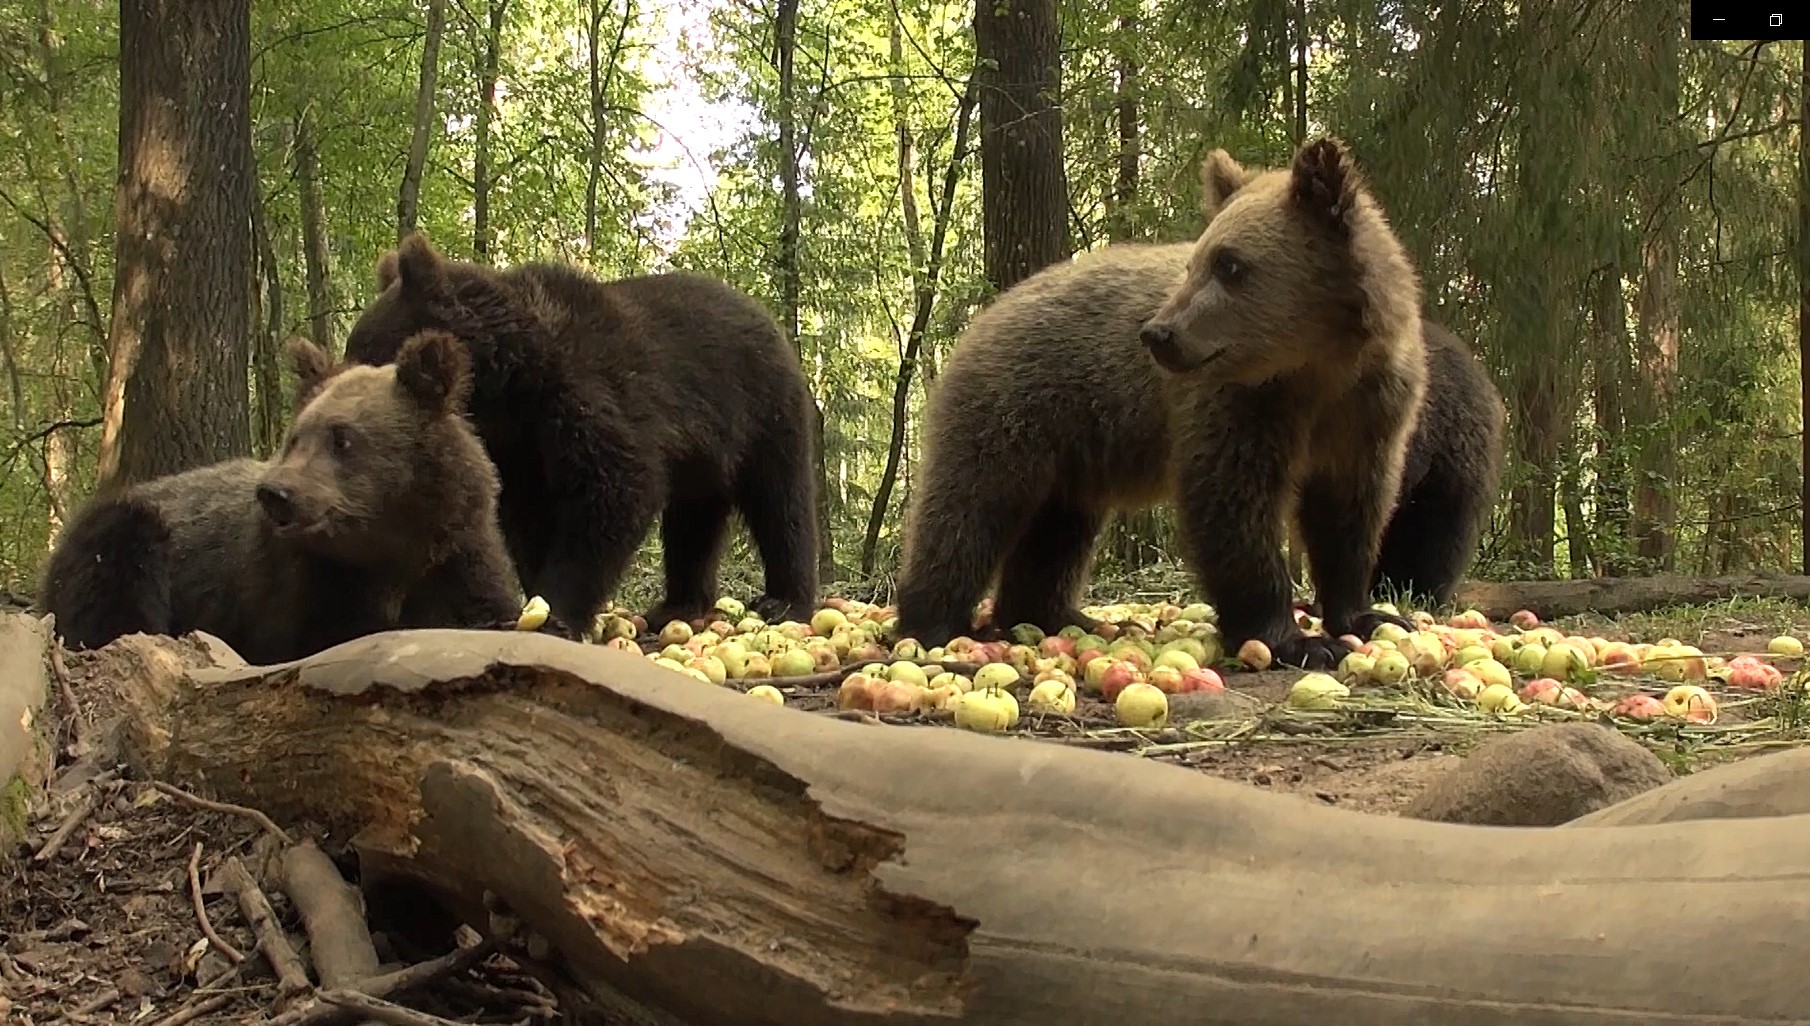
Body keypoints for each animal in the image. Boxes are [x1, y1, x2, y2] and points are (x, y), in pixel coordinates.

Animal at [37, 331, 535, 665]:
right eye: (296, 436)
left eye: (342, 438)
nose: (276, 494)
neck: (390, 550)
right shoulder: (300, 585)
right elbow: (313, 634)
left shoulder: (458, 553)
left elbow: (486, 606)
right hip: (130, 532)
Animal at [340, 235, 821, 633]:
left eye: (368, 351)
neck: (511, 386)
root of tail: (768, 318)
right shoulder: (518, 446)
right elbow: (527, 515)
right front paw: (537, 599)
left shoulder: (587, 396)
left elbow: (614, 490)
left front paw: (558, 613)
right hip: (705, 457)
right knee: (693, 521)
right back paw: (678, 605)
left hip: (762, 409)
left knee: (780, 501)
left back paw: (783, 600)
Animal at [897, 136, 1505, 673]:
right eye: (1198, 261)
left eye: (1229, 264)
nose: (1158, 334)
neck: (1319, 367)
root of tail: (989, 309)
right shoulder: (1241, 403)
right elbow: (1232, 502)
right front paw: (1294, 640)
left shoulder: (1371, 413)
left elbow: (1352, 512)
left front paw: (1368, 615)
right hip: (1017, 405)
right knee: (969, 506)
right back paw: (933, 622)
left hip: (1074, 451)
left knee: (1057, 530)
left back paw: (1062, 617)